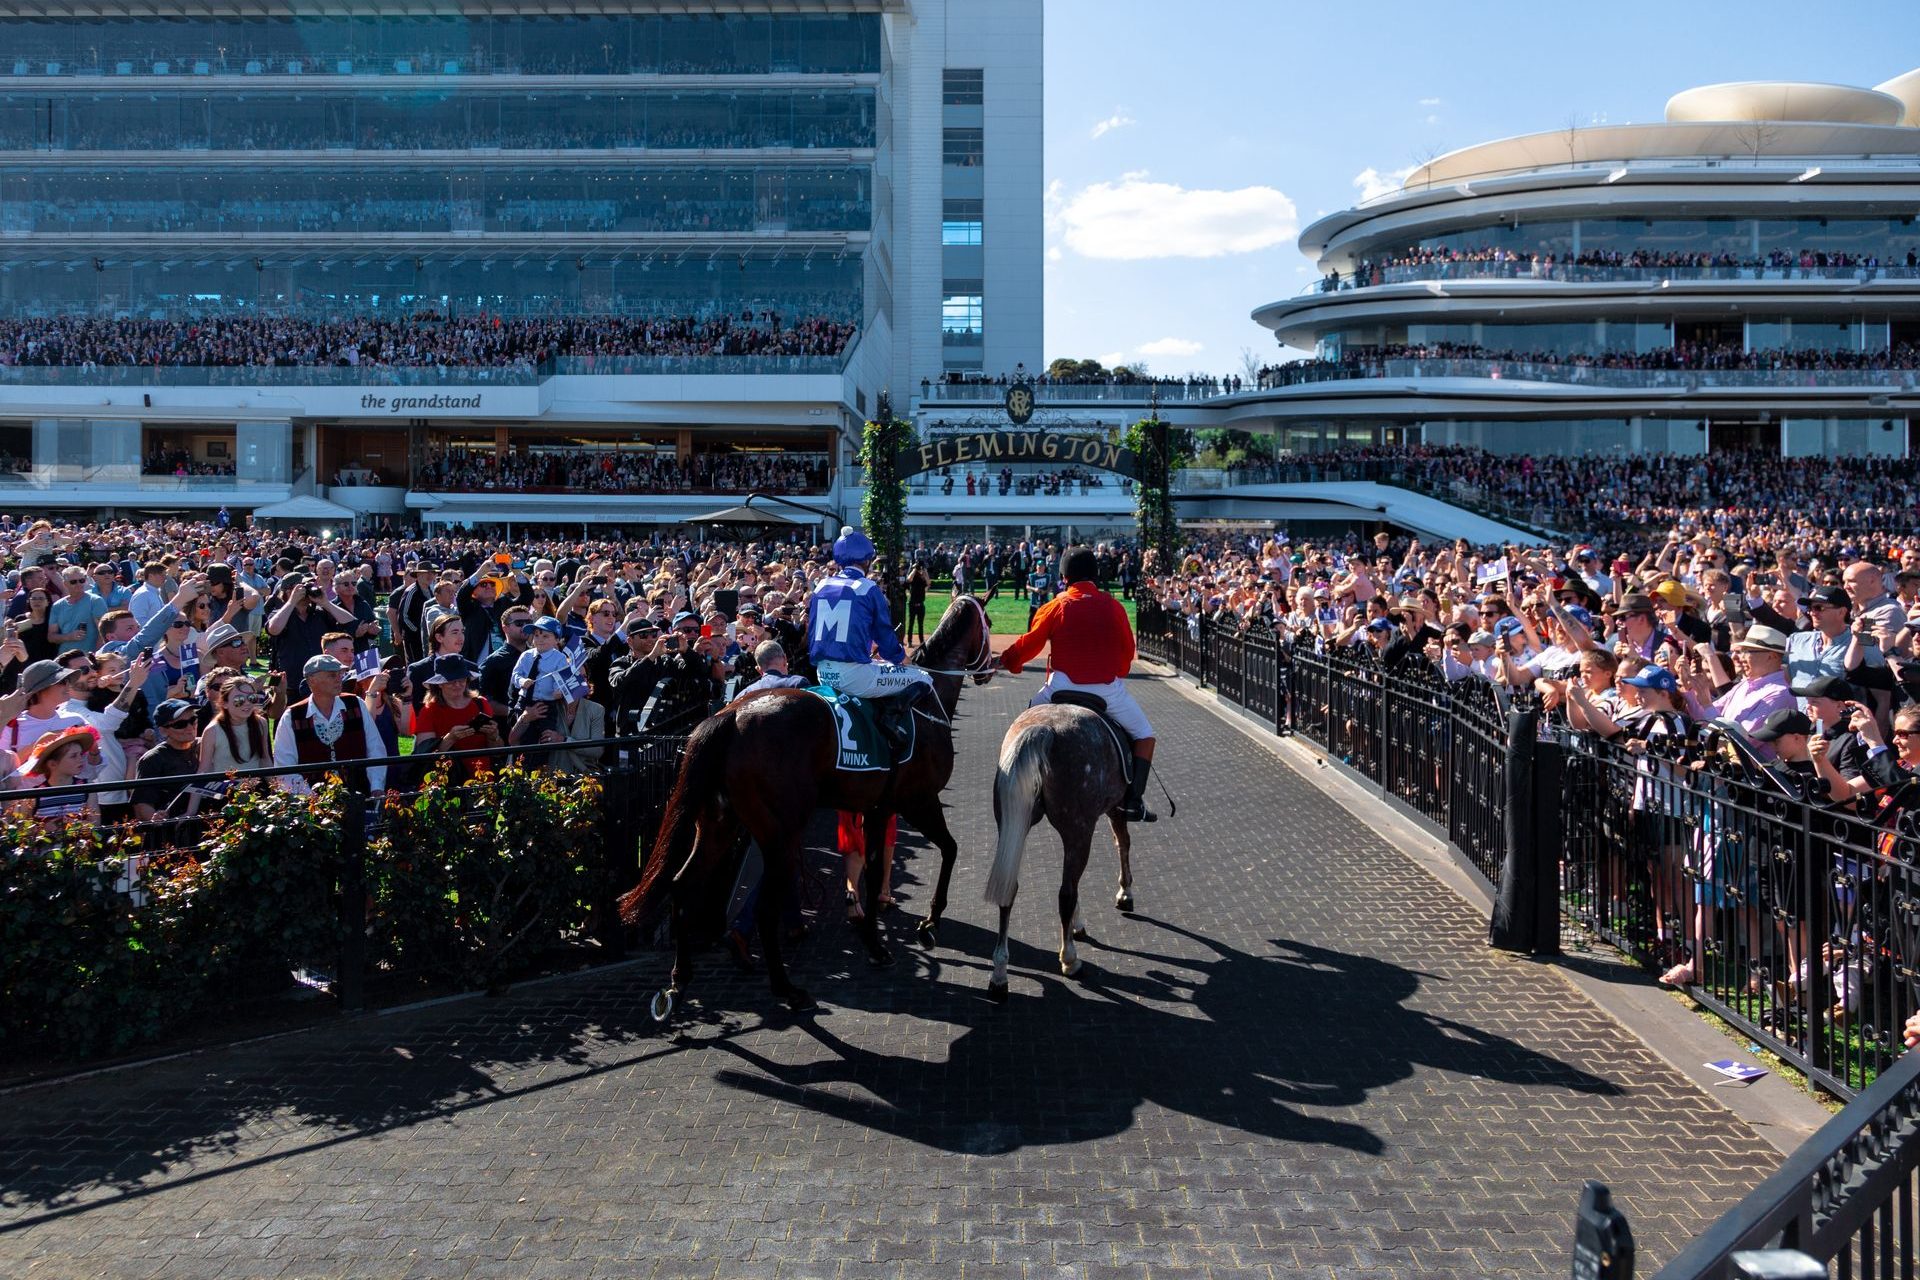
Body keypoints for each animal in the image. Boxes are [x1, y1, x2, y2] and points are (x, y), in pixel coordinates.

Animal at [625, 594, 990, 1020]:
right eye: (987, 623)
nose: (987, 670)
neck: (926, 704)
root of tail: (729, 716)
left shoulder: (876, 808)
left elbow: (872, 870)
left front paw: (875, 944)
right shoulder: (918, 799)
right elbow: (948, 849)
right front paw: (929, 923)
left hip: (719, 823)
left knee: (683, 886)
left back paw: (678, 983)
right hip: (780, 835)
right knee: (766, 908)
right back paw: (787, 989)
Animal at [990, 706, 1136, 1005]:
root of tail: (1044, 730)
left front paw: (1077, 925)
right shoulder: (1114, 808)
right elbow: (1122, 842)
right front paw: (1125, 893)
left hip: (1014, 823)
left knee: (1010, 889)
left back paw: (999, 975)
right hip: (1079, 826)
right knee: (1066, 893)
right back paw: (1069, 959)